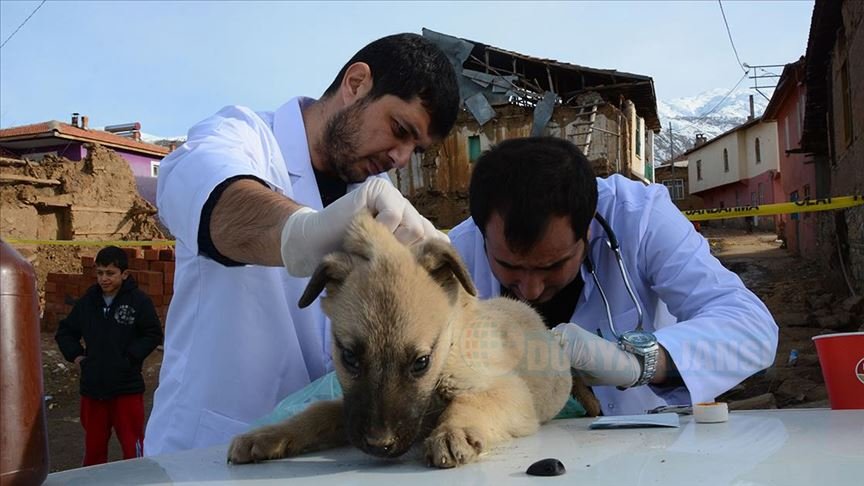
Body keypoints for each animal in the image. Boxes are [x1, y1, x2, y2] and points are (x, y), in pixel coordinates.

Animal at [226, 212, 592, 468]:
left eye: (421, 362)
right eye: (349, 357)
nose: (379, 444)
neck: (448, 353)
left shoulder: (507, 390)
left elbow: (471, 402)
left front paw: (452, 431)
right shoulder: (351, 409)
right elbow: (319, 411)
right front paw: (269, 434)